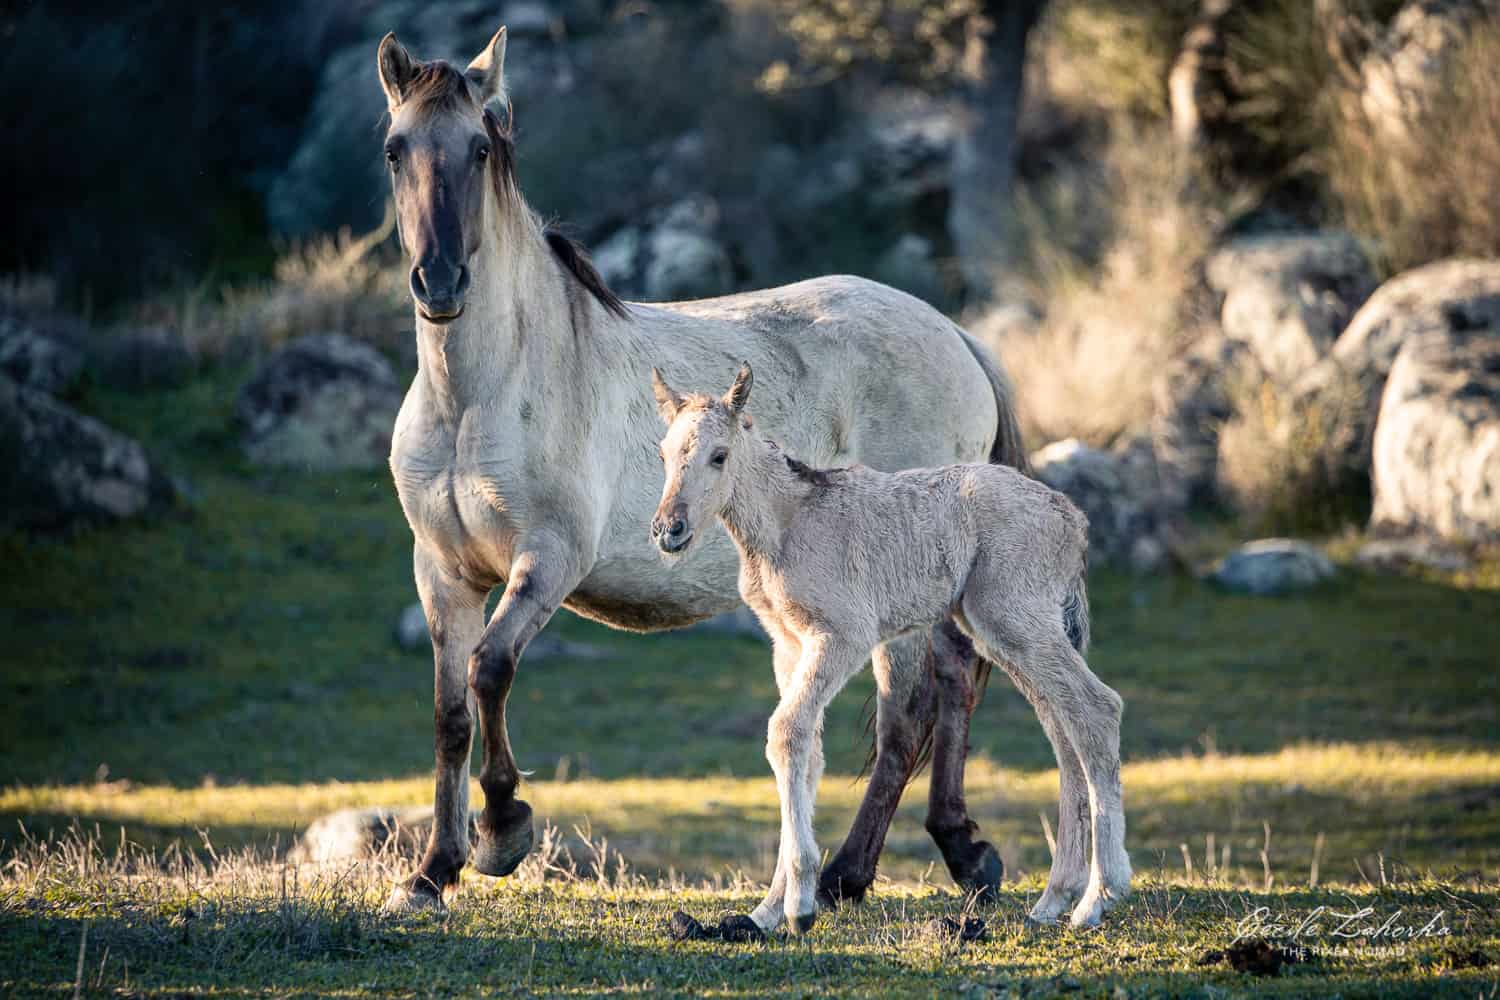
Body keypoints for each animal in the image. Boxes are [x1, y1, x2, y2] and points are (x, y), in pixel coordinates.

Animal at [378, 23, 1032, 917]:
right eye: (395, 149)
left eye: (479, 148)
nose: (439, 283)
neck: (480, 394)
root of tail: (955, 336)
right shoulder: (441, 572)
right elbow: (449, 712)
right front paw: (432, 871)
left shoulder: (546, 560)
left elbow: (490, 672)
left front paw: (503, 831)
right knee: (944, 689)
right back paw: (922, 859)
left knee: (918, 703)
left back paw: (870, 870)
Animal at [651, 367, 1128, 941]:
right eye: (663, 453)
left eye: (719, 455)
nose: (668, 530)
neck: (787, 522)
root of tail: (1073, 520)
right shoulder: (788, 645)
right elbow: (808, 751)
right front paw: (766, 910)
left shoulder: (842, 636)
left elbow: (785, 732)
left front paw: (799, 906)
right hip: (1003, 628)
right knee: (1065, 725)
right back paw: (1054, 899)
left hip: (1016, 616)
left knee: (1096, 709)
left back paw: (1097, 899)